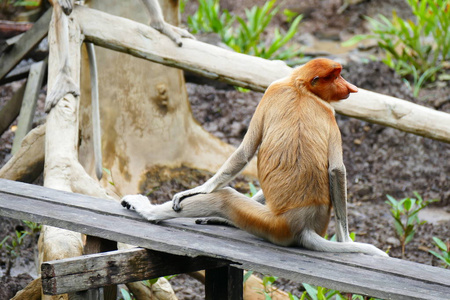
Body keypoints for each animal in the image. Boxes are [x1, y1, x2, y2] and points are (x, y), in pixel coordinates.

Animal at [122, 58, 386, 255]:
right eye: (337, 76)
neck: (300, 87)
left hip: (275, 226)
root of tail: (304, 226)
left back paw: (149, 211)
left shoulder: (274, 91)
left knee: (225, 198)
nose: (350, 88)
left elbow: (245, 150)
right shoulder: (325, 111)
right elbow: (335, 169)